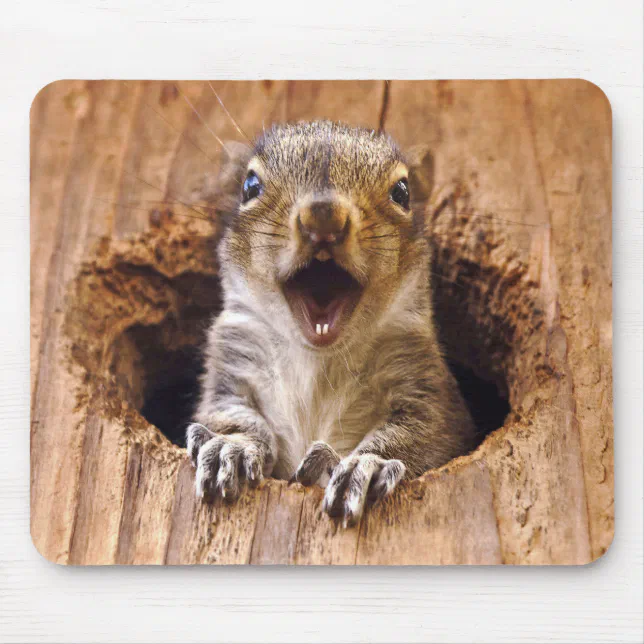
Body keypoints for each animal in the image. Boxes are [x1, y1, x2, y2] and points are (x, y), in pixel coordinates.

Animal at [186, 120, 475, 527]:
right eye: (250, 186)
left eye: (402, 192)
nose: (323, 215)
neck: (317, 357)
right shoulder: (231, 360)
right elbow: (229, 413)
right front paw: (231, 446)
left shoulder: (423, 383)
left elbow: (424, 432)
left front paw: (367, 465)